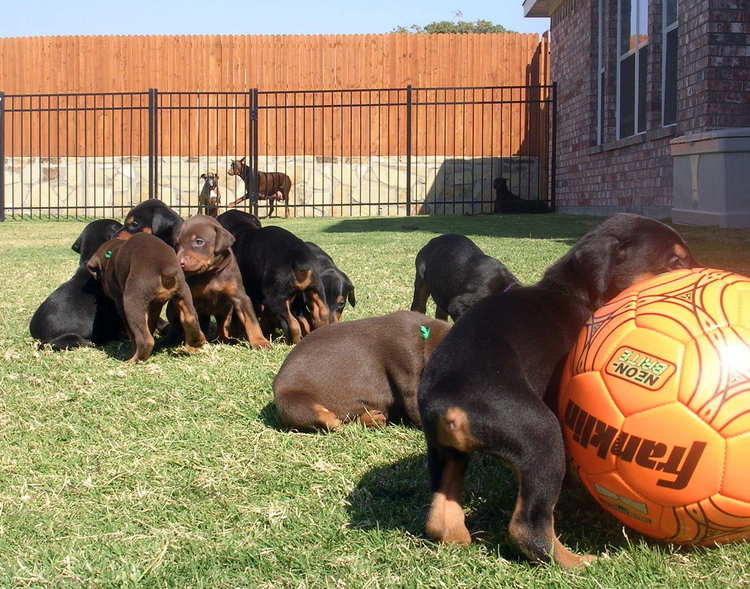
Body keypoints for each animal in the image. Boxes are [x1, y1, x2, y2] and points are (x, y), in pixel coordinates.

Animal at [86, 232, 206, 360]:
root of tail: (165, 267)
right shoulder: (156, 304)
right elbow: (150, 323)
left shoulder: (120, 301)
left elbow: (132, 332)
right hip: (183, 292)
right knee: (190, 318)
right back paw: (197, 342)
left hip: (132, 302)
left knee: (145, 340)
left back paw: (134, 360)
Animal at [175, 216, 272, 350]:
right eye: (177, 244)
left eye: (199, 242)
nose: (180, 263)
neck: (211, 273)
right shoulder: (190, 299)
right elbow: (191, 321)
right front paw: (193, 345)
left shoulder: (240, 297)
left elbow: (251, 321)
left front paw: (260, 342)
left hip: (225, 311)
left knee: (222, 325)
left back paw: (225, 338)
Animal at [276, 310, 452, 430]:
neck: (426, 336)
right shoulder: (406, 366)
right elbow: (416, 408)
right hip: (292, 404)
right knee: (334, 423)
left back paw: (372, 418)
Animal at [420, 214, 704, 568]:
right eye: (676, 262)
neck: (573, 291)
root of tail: (447, 402)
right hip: (541, 435)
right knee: (528, 527)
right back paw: (578, 562)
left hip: (444, 451)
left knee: (440, 516)